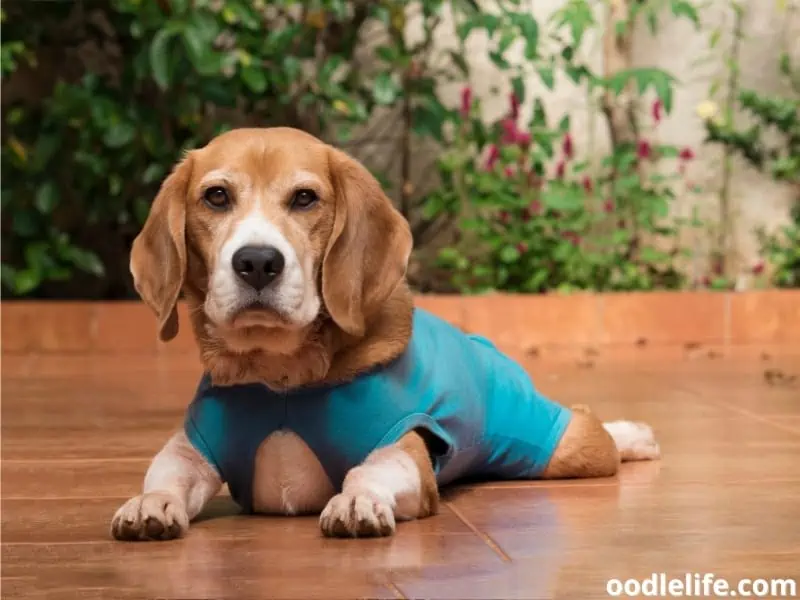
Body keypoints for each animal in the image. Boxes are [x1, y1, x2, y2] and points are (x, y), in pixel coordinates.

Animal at [112, 129, 664, 540]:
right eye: (217, 196)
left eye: (305, 198)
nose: (258, 262)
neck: (281, 376)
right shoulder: (192, 448)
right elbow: (166, 472)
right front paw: (150, 503)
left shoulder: (405, 450)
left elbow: (368, 470)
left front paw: (357, 500)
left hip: (559, 444)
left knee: (590, 422)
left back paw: (634, 434)